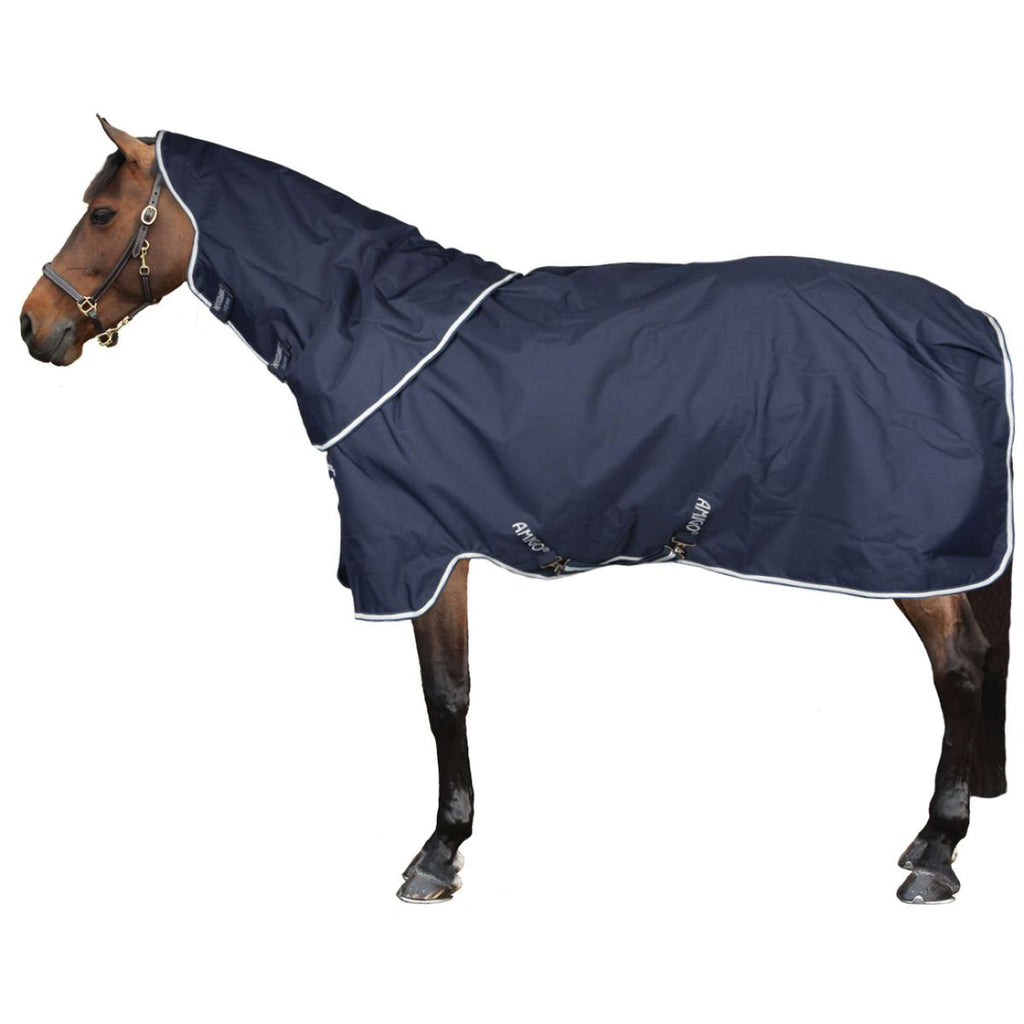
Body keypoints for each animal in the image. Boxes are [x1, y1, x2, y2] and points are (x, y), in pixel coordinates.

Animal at [19, 117, 1012, 904]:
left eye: (102, 214)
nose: (34, 326)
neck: (372, 324)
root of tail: (969, 323)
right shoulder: (441, 552)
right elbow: (454, 690)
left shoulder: (418, 551)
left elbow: (444, 696)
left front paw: (437, 852)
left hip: (913, 559)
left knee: (960, 666)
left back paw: (936, 853)